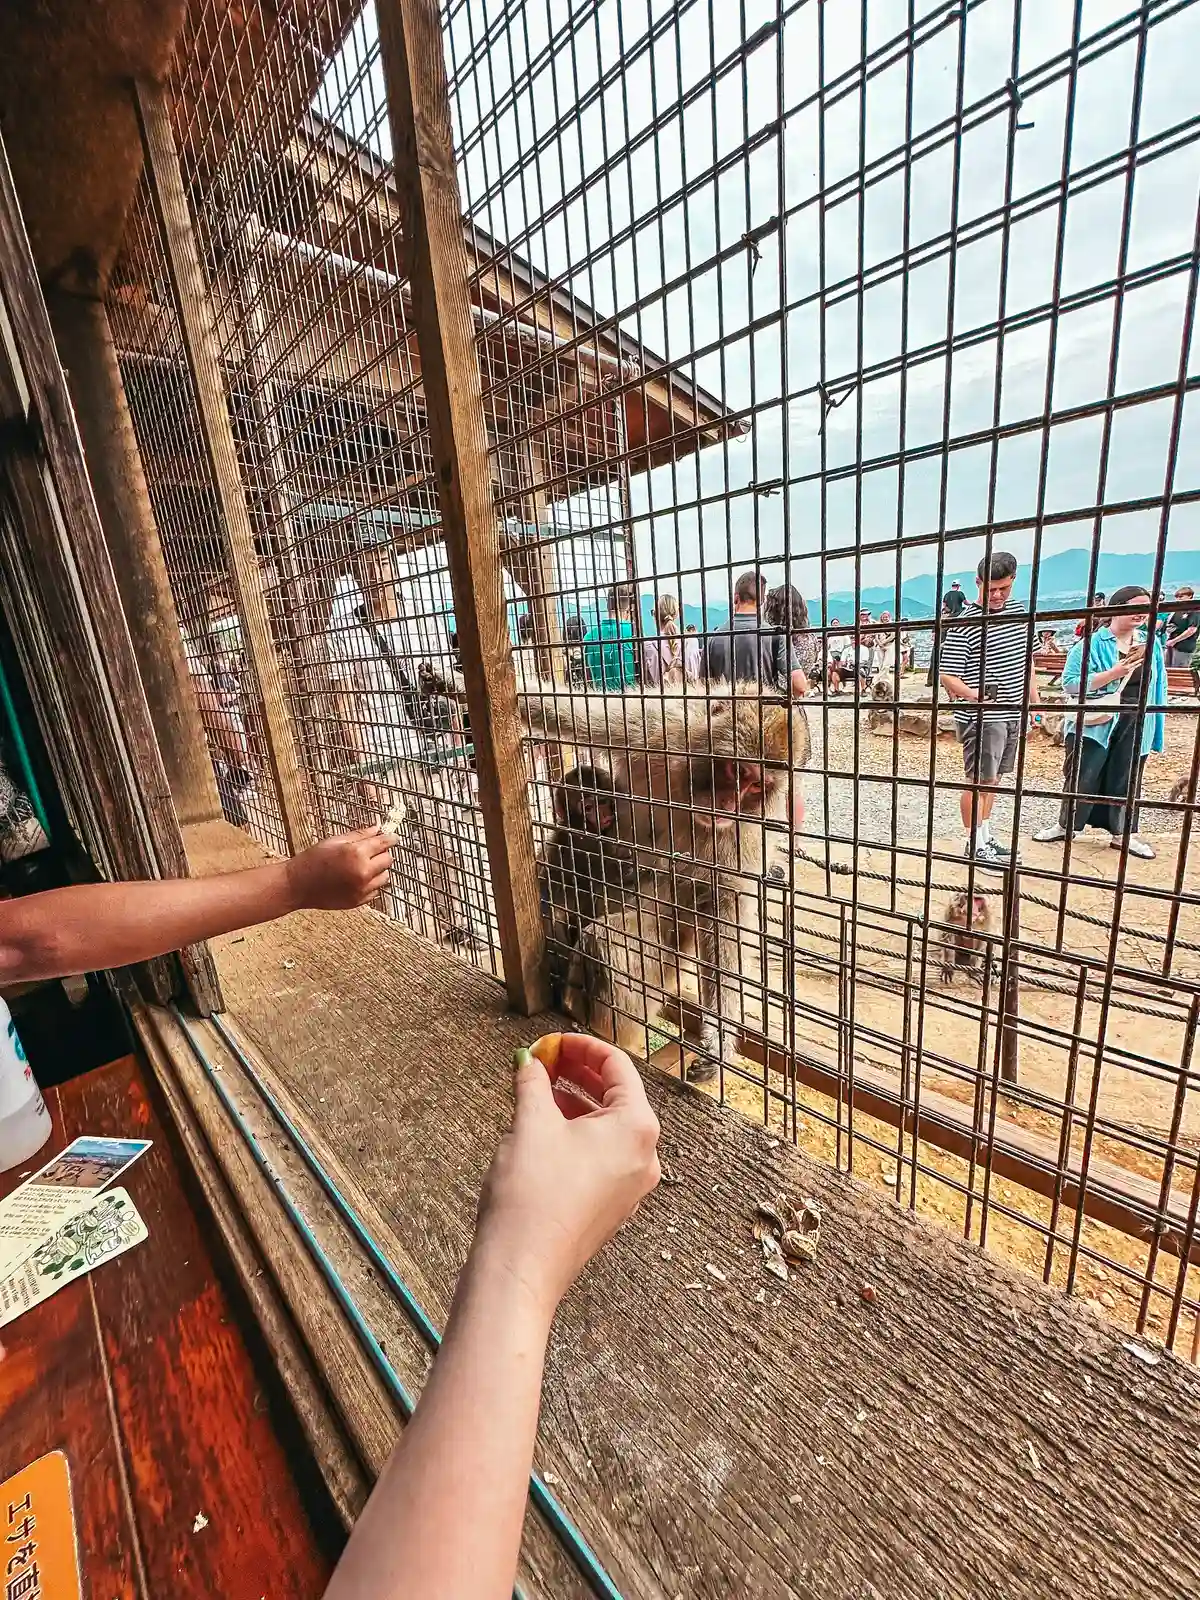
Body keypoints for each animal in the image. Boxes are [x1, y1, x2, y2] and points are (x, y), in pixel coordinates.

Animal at [521, 681, 812, 1081]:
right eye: (736, 771)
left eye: (757, 786)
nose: (727, 806)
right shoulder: (660, 733)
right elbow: (575, 713)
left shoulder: (740, 836)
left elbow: (726, 911)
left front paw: (718, 1040)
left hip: (665, 968)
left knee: (608, 941)